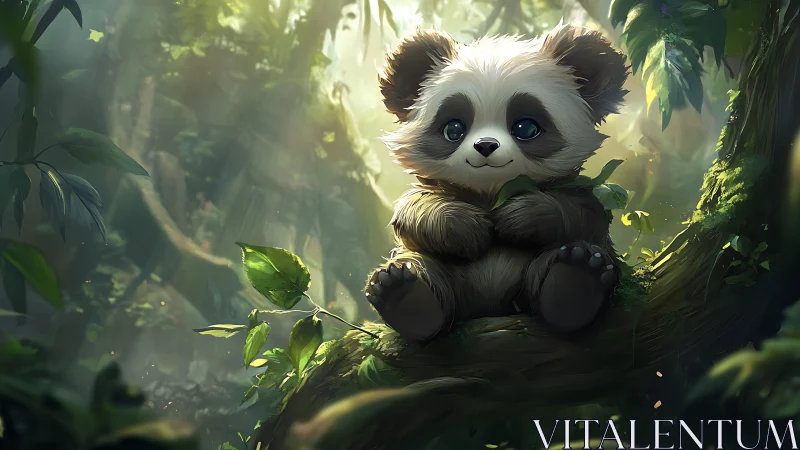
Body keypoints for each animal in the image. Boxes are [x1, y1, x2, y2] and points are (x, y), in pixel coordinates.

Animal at [364, 24, 629, 342]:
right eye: (454, 128)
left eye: (525, 127)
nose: (486, 145)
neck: (491, 192)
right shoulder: (433, 191)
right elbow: (415, 210)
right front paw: (469, 228)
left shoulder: (574, 190)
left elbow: (585, 213)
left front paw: (517, 216)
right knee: (421, 266)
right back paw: (405, 296)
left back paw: (574, 280)